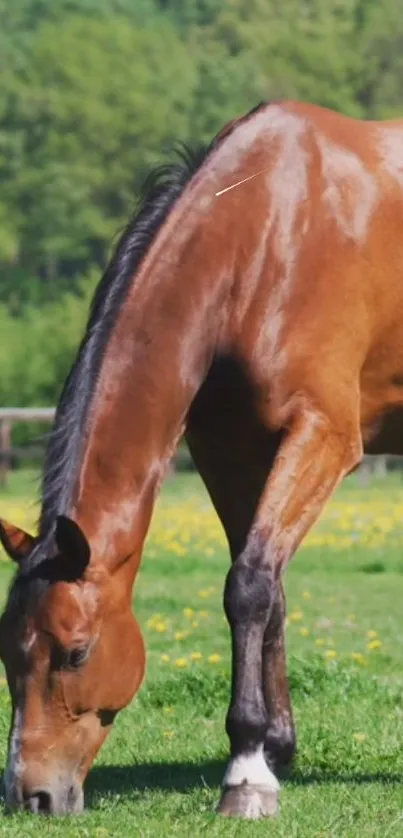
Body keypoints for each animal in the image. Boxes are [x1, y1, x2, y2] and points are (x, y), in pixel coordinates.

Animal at [0, 100, 403, 820]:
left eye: (74, 653)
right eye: (6, 655)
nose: (31, 796)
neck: (267, 234)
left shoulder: (323, 436)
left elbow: (248, 586)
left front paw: (245, 772)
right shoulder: (227, 449)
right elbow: (269, 586)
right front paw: (273, 748)